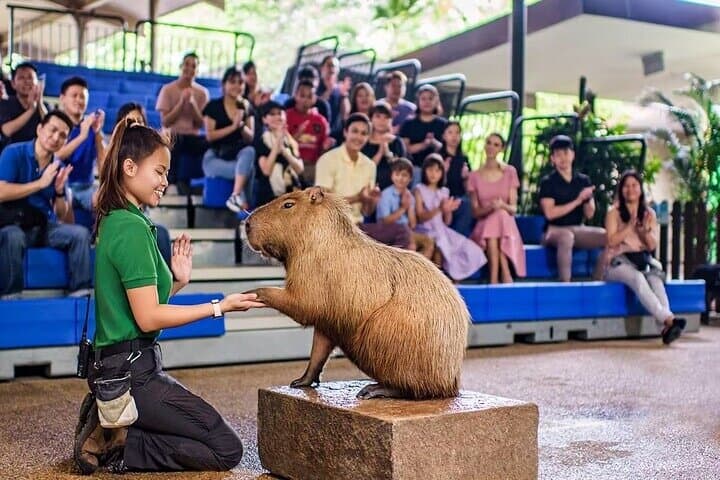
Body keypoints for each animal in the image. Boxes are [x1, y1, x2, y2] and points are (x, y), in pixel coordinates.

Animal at [245, 187, 468, 399]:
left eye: (288, 204)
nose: (246, 224)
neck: (324, 240)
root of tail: (452, 385)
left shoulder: (309, 281)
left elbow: (302, 305)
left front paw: (252, 292)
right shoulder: (327, 323)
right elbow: (318, 351)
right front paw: (300, 382)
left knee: (409, 388)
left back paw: (372, 390)